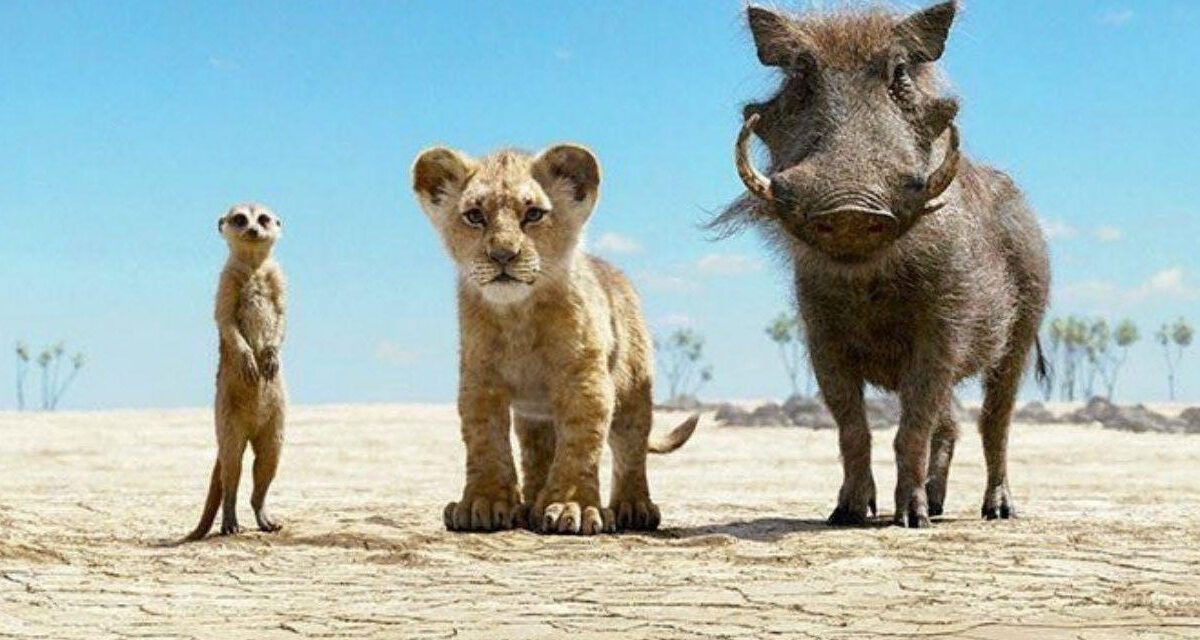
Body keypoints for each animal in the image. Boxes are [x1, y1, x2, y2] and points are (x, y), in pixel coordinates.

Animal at [411, 144, 698, 535]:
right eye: (474, 216)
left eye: (533, 214)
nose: (503, 255)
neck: (517, 315)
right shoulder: (480, 381)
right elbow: (485, 441)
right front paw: (483, 503)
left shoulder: (585, 379)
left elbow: (580, 443)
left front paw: (571, 507)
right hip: (534, 416)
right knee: (537, 452)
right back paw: (530, 505)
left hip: (633, 391)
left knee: (630, 448)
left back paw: (634, 507)